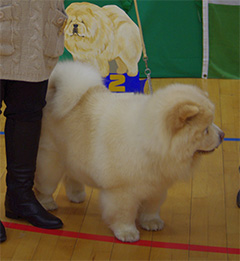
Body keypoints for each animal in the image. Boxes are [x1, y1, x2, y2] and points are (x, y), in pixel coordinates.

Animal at [34, 61, 225, 242]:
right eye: (206, 130)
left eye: (212, 124)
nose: (222, 135)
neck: (150, 142)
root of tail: (52, 92)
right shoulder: (122, 191)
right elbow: (123, 214)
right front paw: (127, 233)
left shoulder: (156, 186)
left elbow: (151, 208)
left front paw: (152, 223)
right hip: (50, 160)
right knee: (45, 185)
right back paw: (47, 204)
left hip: (73, 155)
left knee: (71, 175)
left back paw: (77, 195)